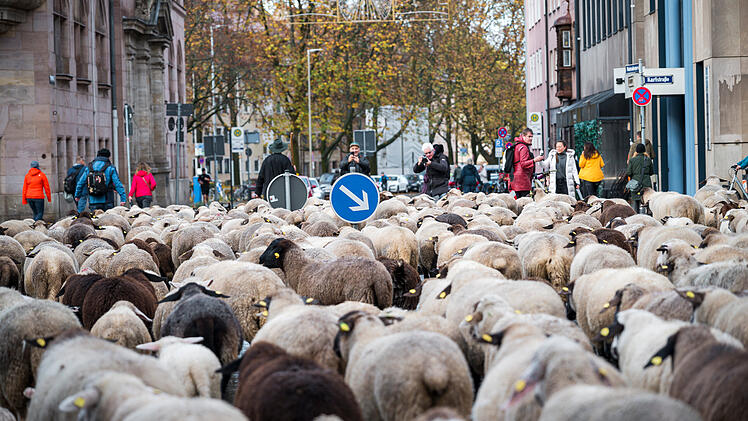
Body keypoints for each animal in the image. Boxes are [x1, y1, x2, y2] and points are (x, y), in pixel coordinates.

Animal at [259, 238, 393, 309]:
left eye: (272, 247)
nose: (260, 259)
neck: (300, 269)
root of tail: (379, 275)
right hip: (385, 300)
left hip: (360, 297)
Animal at [334, 311, 473, 421]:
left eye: (340, 330)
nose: (335, 349)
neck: (367, 336)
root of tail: (434, 367)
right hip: (457, 398)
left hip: (406, 404)